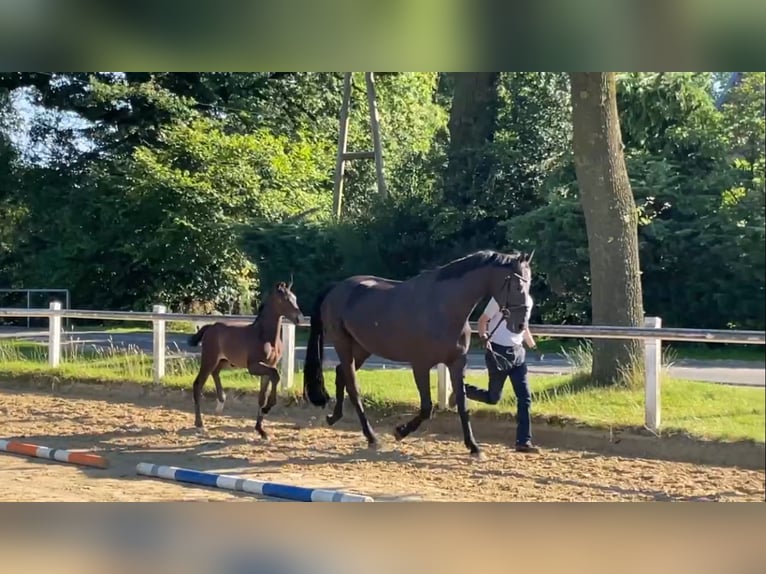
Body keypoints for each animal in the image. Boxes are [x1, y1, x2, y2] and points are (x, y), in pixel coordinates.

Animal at [186, 282, 304, 440]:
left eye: (295, 298)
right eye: (284, 299)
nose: (300, 319)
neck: (264, 336)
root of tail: (211, 327)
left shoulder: (268, 366)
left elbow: (262, 396)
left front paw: (261, 430)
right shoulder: (254, 367)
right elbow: (275, 374)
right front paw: (267, 408)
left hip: (224, 361)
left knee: (215, 373)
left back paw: (221, 401)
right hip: (209, 359)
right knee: (198, 384)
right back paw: (200, 424)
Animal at [302, 251, 536, 460]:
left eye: (529, 284)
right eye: (517, 286)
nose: (520, 325)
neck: (444, 307)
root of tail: (336, 287)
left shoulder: (457, 362)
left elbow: (462, 404)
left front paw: (474, 447)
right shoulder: (420, 365)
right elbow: (426, 408)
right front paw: (400, 431)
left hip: (362, 348)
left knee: (341, 373)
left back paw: (334, 417)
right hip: (343, 345)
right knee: (352, 386)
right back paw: (371, 437)